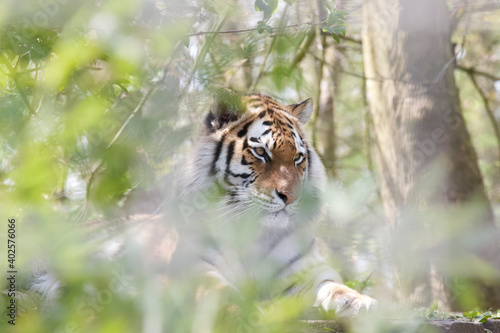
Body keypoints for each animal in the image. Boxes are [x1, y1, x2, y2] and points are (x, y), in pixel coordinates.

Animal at [178, 91, 376, 316]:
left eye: (297, 157)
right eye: (260, 152)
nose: (291, 196)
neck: (253, 234)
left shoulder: (305, 268)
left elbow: (331, 285)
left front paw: (358, 302)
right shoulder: (195, 266)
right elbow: (222, 295)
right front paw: (250, 316)